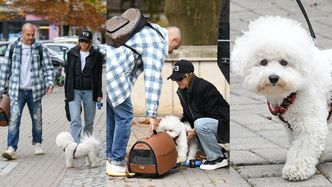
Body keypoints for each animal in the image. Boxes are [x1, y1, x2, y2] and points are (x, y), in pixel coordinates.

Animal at [232, 16, 332, 181]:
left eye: (284, 62)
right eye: (263, 62)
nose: (273, 77)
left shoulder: (311, 123)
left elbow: (302, 147)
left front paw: (296, 170)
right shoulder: (292, 126)